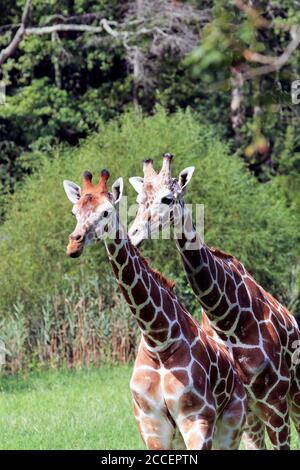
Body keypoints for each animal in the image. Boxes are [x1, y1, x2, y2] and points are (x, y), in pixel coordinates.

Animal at [62, 170, 247, 452]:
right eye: (75, 211)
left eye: (106, 212)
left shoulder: (197, 419)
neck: (159, 340)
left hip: (231, 428)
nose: (74, 245)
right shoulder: (151, 426)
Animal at [128, 153, 300, 448]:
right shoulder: (245, 406)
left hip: (294, 392)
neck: (227, 317)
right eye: (139, 199)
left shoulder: (275, 400)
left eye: (168, 198)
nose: (134, 234)